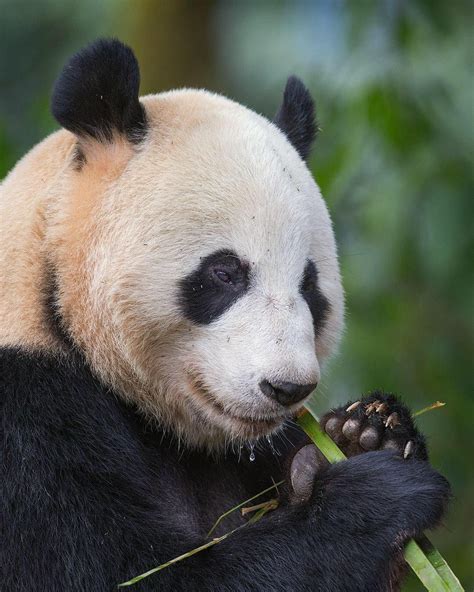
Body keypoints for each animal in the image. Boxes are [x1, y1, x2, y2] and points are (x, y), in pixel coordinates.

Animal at [0, 39, 452, 588]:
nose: (287, 388)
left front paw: (370, 432)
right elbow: (124, 571)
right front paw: (378, 494)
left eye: (309, 285)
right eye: (225, 273)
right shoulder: (23, 416)